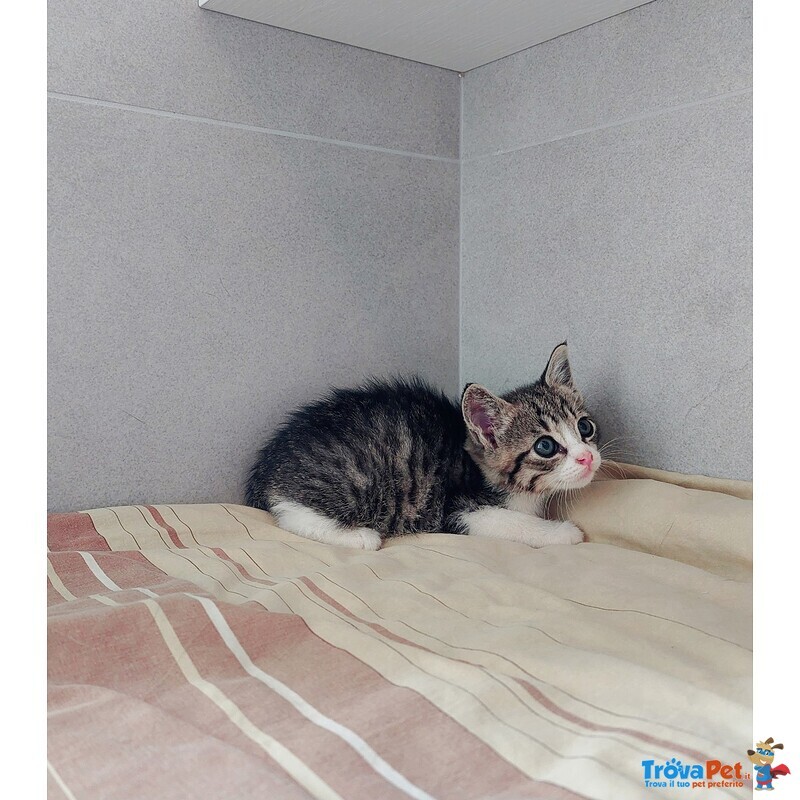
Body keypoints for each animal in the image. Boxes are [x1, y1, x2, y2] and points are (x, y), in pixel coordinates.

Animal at [245, 343, 601, 550]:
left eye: (585, 427)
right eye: (545, 446)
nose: (587, 458)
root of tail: (266, 468)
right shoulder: (458, 509)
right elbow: (511, 521)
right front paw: (561, 532)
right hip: (351, 481)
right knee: (289, 512)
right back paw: (361, 536)